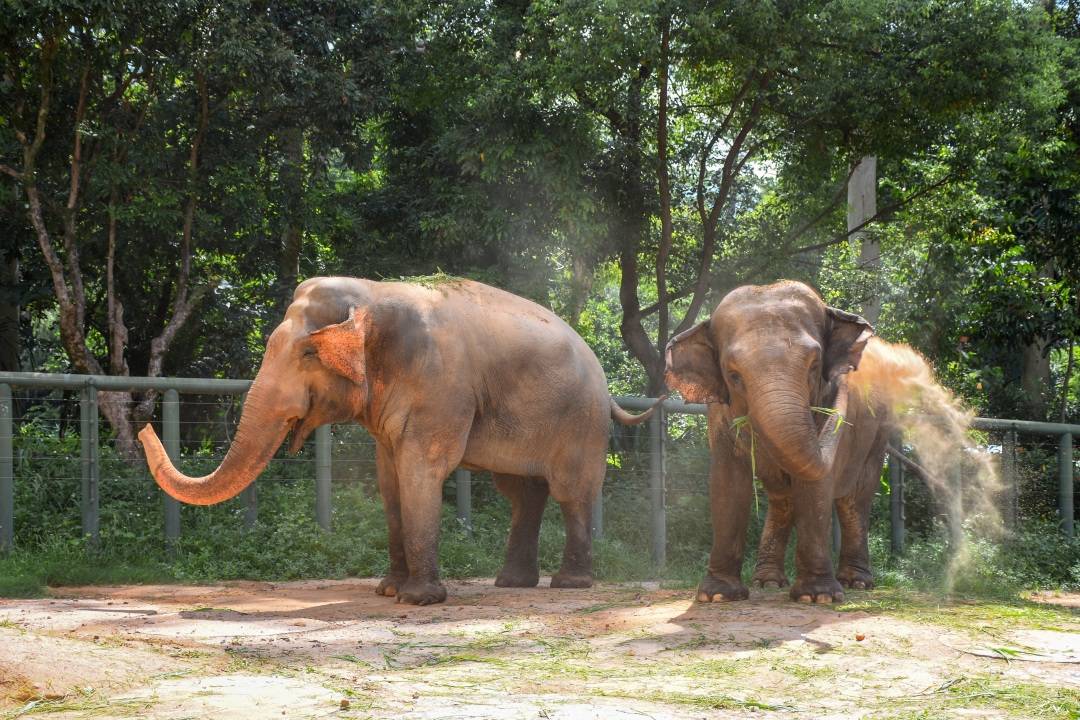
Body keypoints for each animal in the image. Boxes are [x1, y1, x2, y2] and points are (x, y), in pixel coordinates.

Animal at [139, 276, 652, 604]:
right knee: (521, 493)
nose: (143, 422)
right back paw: (511, 584)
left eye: (308, 354)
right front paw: (388, 590)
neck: (373, 293)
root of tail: (606, 384)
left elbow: (419, 471)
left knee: (570, 492)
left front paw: (417, 600)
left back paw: (569, 585)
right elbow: (389, 481)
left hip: (580, 421)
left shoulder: (440, 388)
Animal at [665, 278, 902, 604]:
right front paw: (718, 596)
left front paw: (817, 597)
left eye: (815, 365)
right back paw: (767, 582)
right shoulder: (718, 415)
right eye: (733, 375)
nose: (845, 379)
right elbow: (727, 482)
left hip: (876, 436)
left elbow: (816, 484)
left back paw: (857, 583)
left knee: (855, 498)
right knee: (783, 499)